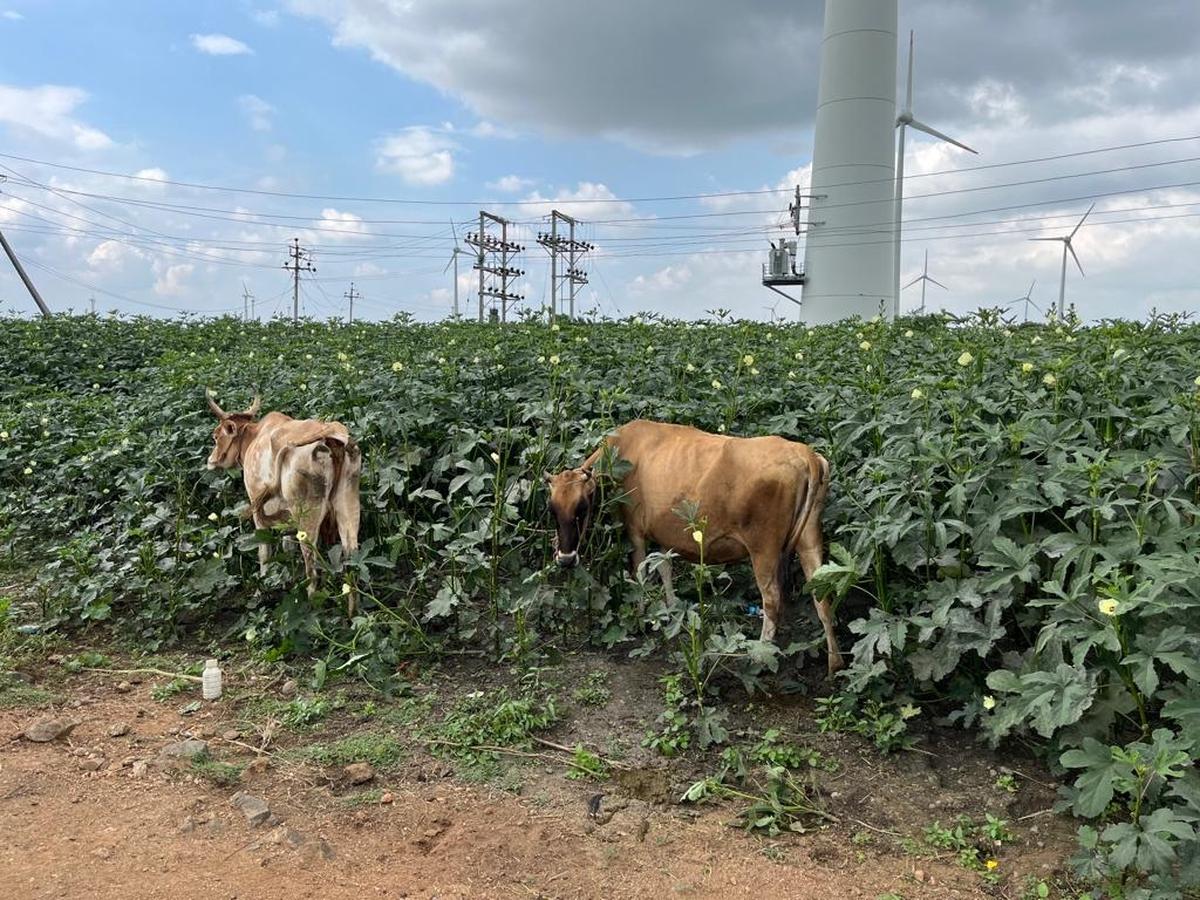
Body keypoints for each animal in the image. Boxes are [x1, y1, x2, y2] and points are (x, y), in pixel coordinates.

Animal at [205, 391, 362, 614]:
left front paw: (262, 589)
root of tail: (328, 434)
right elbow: (287, 547)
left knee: (312, 566)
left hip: (307, 514)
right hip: (347, 502)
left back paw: (311, 605)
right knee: (352, 556)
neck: (253, 438)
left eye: (216, 436)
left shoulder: (257, 507)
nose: (211, 460)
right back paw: (352, 612)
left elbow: (264, 552)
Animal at [544, 419, 843, 675]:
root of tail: (805, 454)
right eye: (552, 510)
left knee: (772, 599)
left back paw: (758, 656)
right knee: (822, 598)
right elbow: (664, 567)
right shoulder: (663, 532)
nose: (566, 559)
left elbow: (640, 573)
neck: (625, 449)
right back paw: (835, 664)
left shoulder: (635, 530)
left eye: (582, 508)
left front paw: (641, 617)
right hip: (809, 538)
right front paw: (672, 609)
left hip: (764, 548)